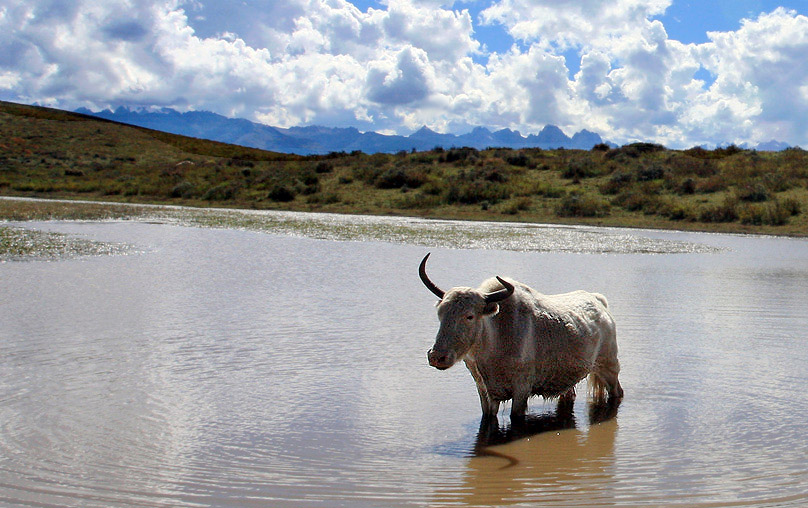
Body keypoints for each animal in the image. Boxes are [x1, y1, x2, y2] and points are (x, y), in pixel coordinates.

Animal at [420, 252, 620, 418]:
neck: (494, 341)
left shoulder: (522, 389)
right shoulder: (484, 391)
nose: (437, 356)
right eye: (440, 313)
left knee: (617, 392)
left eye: (469, 316)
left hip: (608, 366)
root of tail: (599, 301)